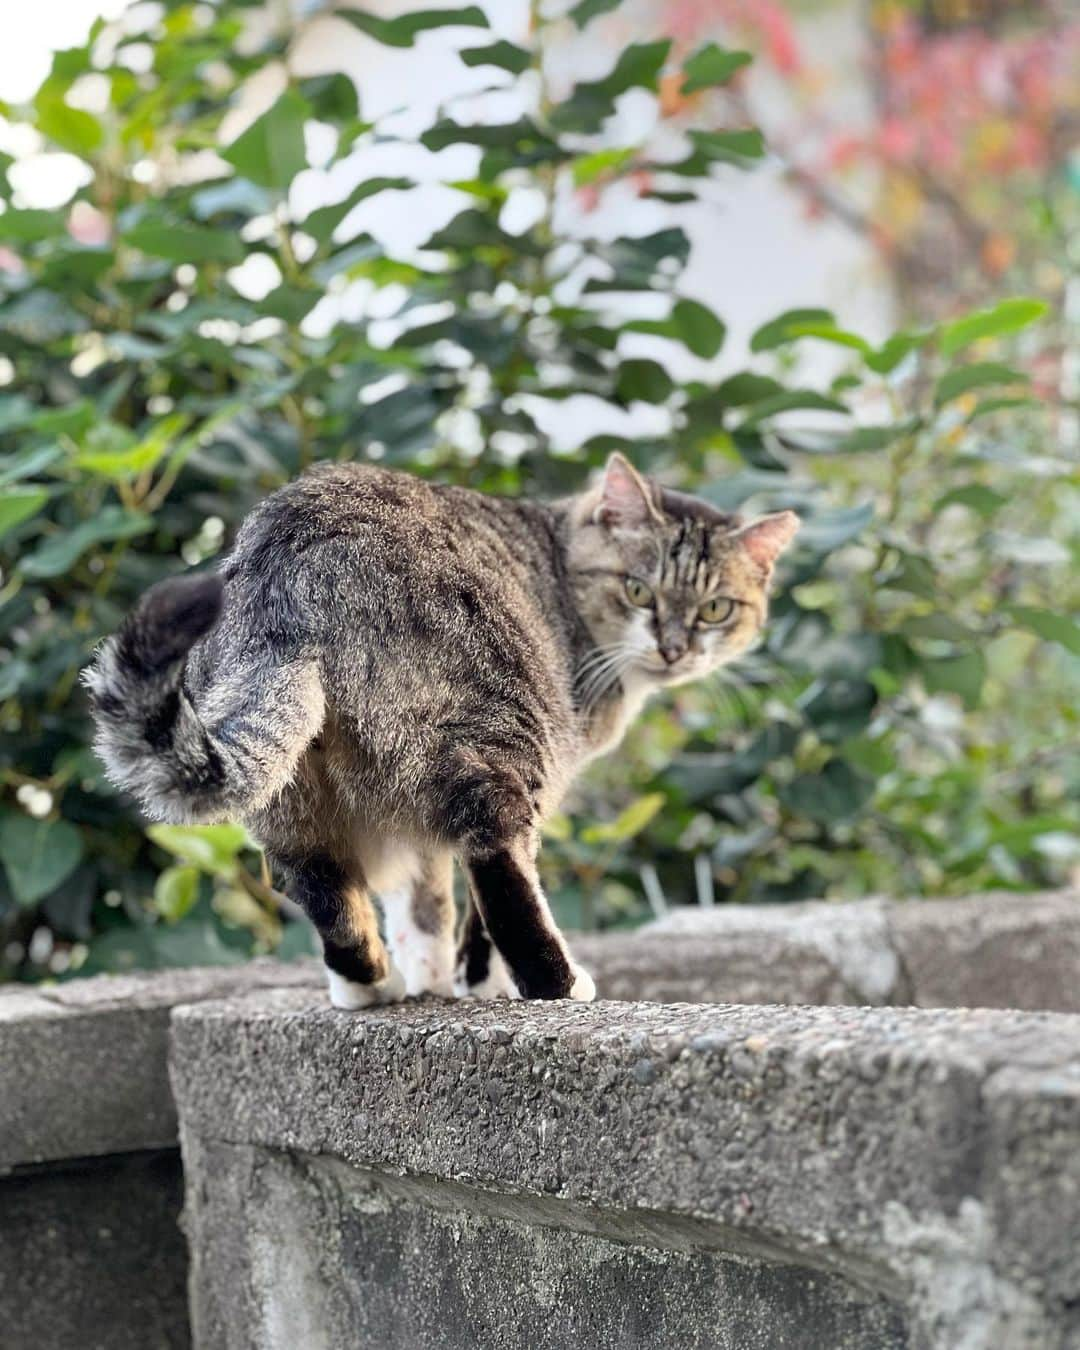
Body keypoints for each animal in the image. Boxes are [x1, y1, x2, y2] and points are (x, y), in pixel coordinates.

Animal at [84, 453, 799, 1004]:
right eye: (639, 591)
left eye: (715, 609)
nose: (676, 649)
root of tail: (289, 579)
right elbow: (473, 914)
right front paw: (476, 981)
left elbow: (424, 898)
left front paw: (428, 970)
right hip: (501, 740)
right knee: (498, 859)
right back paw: (560, 985)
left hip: (296, 791)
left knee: (320, 885)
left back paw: (368, 986)